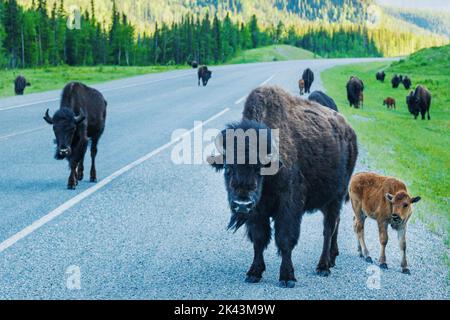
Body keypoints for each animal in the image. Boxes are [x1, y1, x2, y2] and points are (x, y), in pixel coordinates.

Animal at [207, 85, 358, 288]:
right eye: (228, 168)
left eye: (259, 169)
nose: (241, 204)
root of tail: (349, 131)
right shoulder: (257, 211)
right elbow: (259, 239)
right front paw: (254, 273)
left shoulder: (289, 204)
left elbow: (285, 239)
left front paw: (287, 277)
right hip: (329, 199)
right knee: (335, 224)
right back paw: (332, 258)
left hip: (336, 196)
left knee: (328, 228)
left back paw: (323, 267)